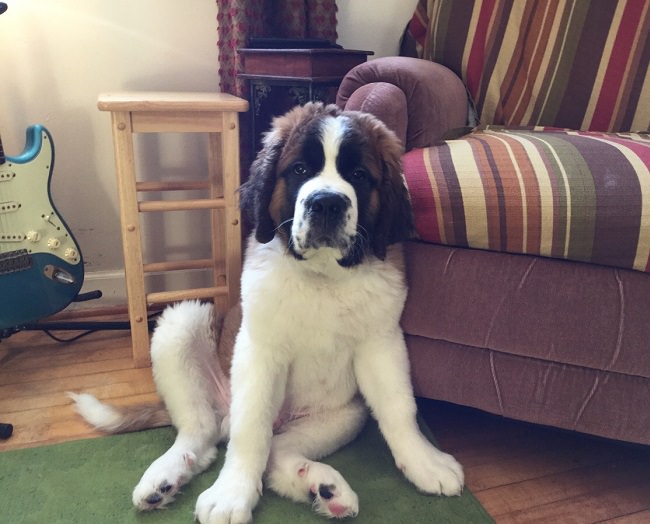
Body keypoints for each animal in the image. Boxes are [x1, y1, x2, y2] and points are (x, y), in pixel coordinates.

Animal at [71, 103, 464, 524]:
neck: (323, 276)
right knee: (204, 431)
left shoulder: (382, 343)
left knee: (277, 452)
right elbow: (251, 428)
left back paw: (322, 486)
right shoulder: (260, 351)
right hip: (181, 326)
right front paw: (231, 493)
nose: (327, 203)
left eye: (358, 175)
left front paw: (425, 462)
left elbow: (399, 408)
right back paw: (164, 478)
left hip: (343, 415)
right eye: (300, 170)